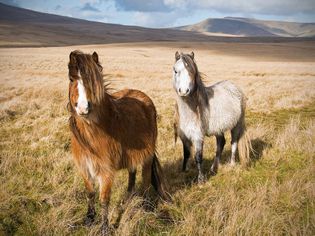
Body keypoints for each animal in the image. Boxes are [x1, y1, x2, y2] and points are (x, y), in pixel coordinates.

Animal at [67, 49, 170, 234]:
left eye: (94, 80)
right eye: (72, 79)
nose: (83, 108)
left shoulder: (106, 171)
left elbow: (104, 200)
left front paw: (104, 228)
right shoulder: (84, 168)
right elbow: (90, 193)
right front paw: (89, 218)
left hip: (147, 157)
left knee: (145, 180)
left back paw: (145, 207)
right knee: (132, 174)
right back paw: (129, 198)